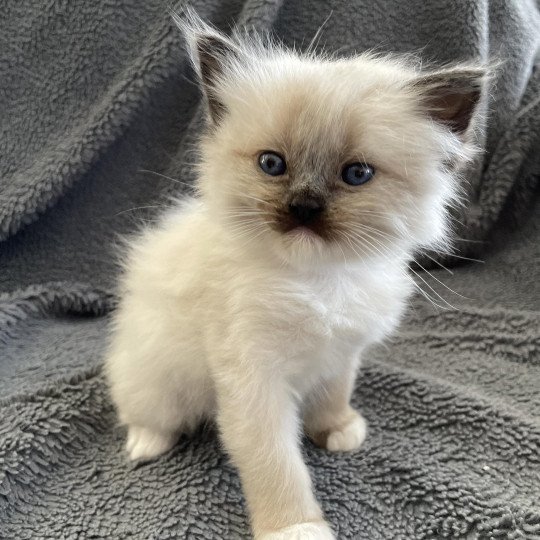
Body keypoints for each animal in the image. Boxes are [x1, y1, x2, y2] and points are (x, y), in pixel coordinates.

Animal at [105, 12, 486, 540]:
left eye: (357, 174)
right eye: (272, 164)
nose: (303, 207)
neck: (317, 282)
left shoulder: (341, 354)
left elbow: (333, 396)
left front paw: (337, 431)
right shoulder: (254, 384)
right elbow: (277, 465)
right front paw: (296, 527)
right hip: (157, 380)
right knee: (145, 412)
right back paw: (146, 446)